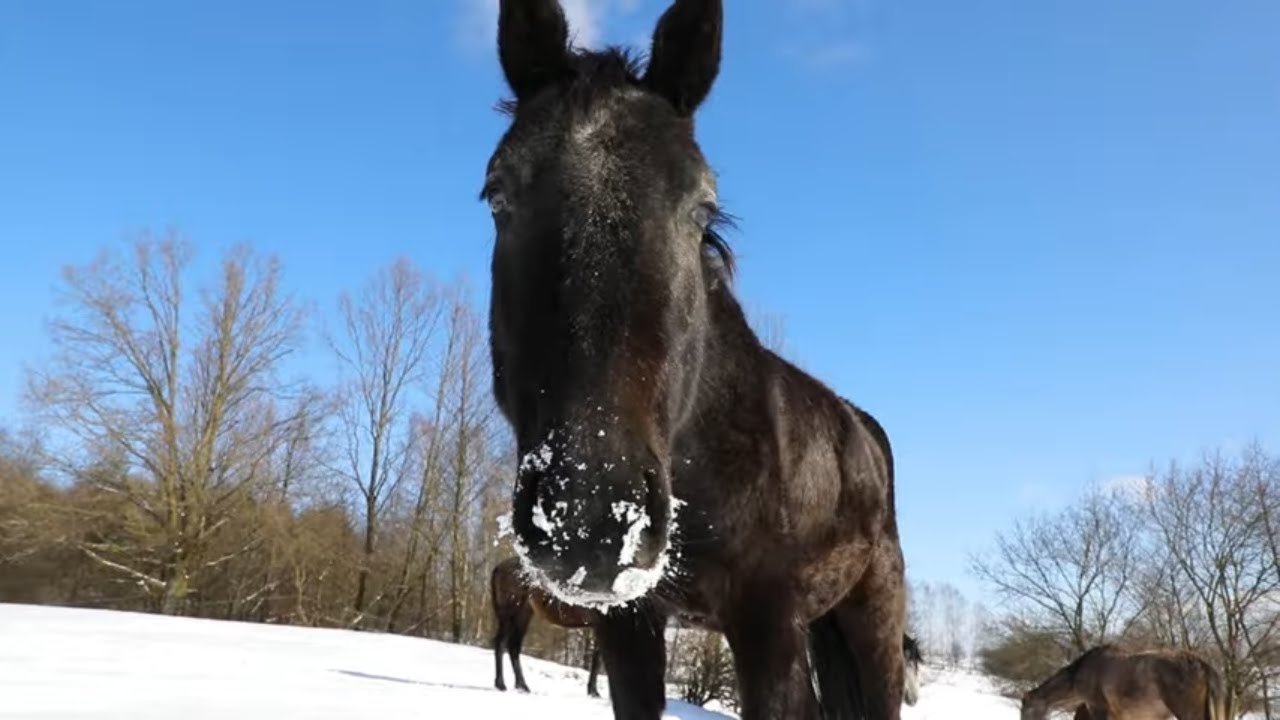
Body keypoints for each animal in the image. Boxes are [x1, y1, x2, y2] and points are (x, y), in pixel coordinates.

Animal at [490, 556, 602, 697]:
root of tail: (500, 567)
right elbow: (597, 659)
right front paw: (593, 691)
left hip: (523, 614)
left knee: (513, 646)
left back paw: (522, 686)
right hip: (510, 613)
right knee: (501, 643)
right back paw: (501, 684)